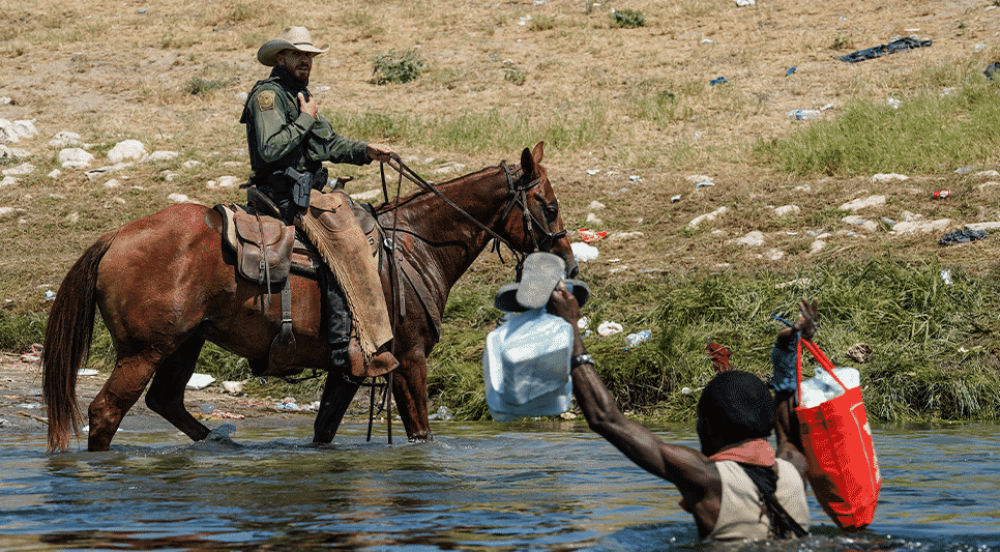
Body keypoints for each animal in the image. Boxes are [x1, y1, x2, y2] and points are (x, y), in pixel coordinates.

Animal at [45, 143, 580, 452]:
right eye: (550, 206)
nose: (570, 268)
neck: (416, 246)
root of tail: (115, 236)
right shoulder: (409, 360)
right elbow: (420, 432)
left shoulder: (349, 370)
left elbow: (324, 430)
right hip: (144, 351)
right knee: (105, 413)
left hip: (184, 343)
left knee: (166, 401)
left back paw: (222, 445)